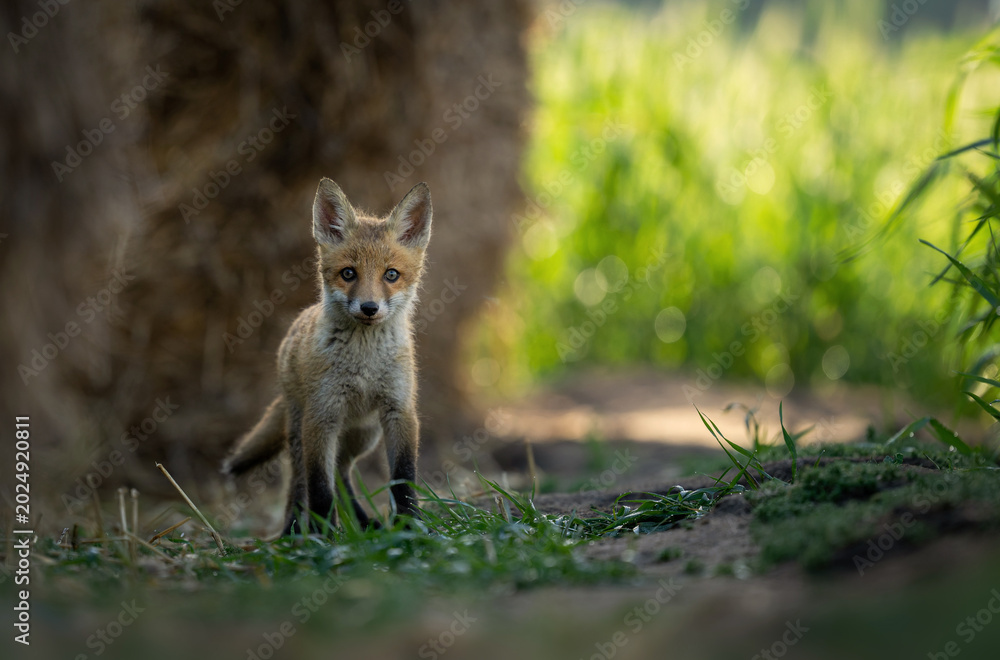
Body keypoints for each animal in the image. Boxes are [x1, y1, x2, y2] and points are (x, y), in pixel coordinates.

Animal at [222, 178, 432, 536]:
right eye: (348, 274)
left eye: (391, 275)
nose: (369, 308)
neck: (364, 364)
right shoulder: (322, 416)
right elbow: (320, 490)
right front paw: (325, 538)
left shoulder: (399, 410)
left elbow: (403, 479)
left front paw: (409, 526)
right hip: (302, 433)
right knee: (300, 483)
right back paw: (293, 532)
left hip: (363, 435)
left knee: (341, 472)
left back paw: (363, 524)